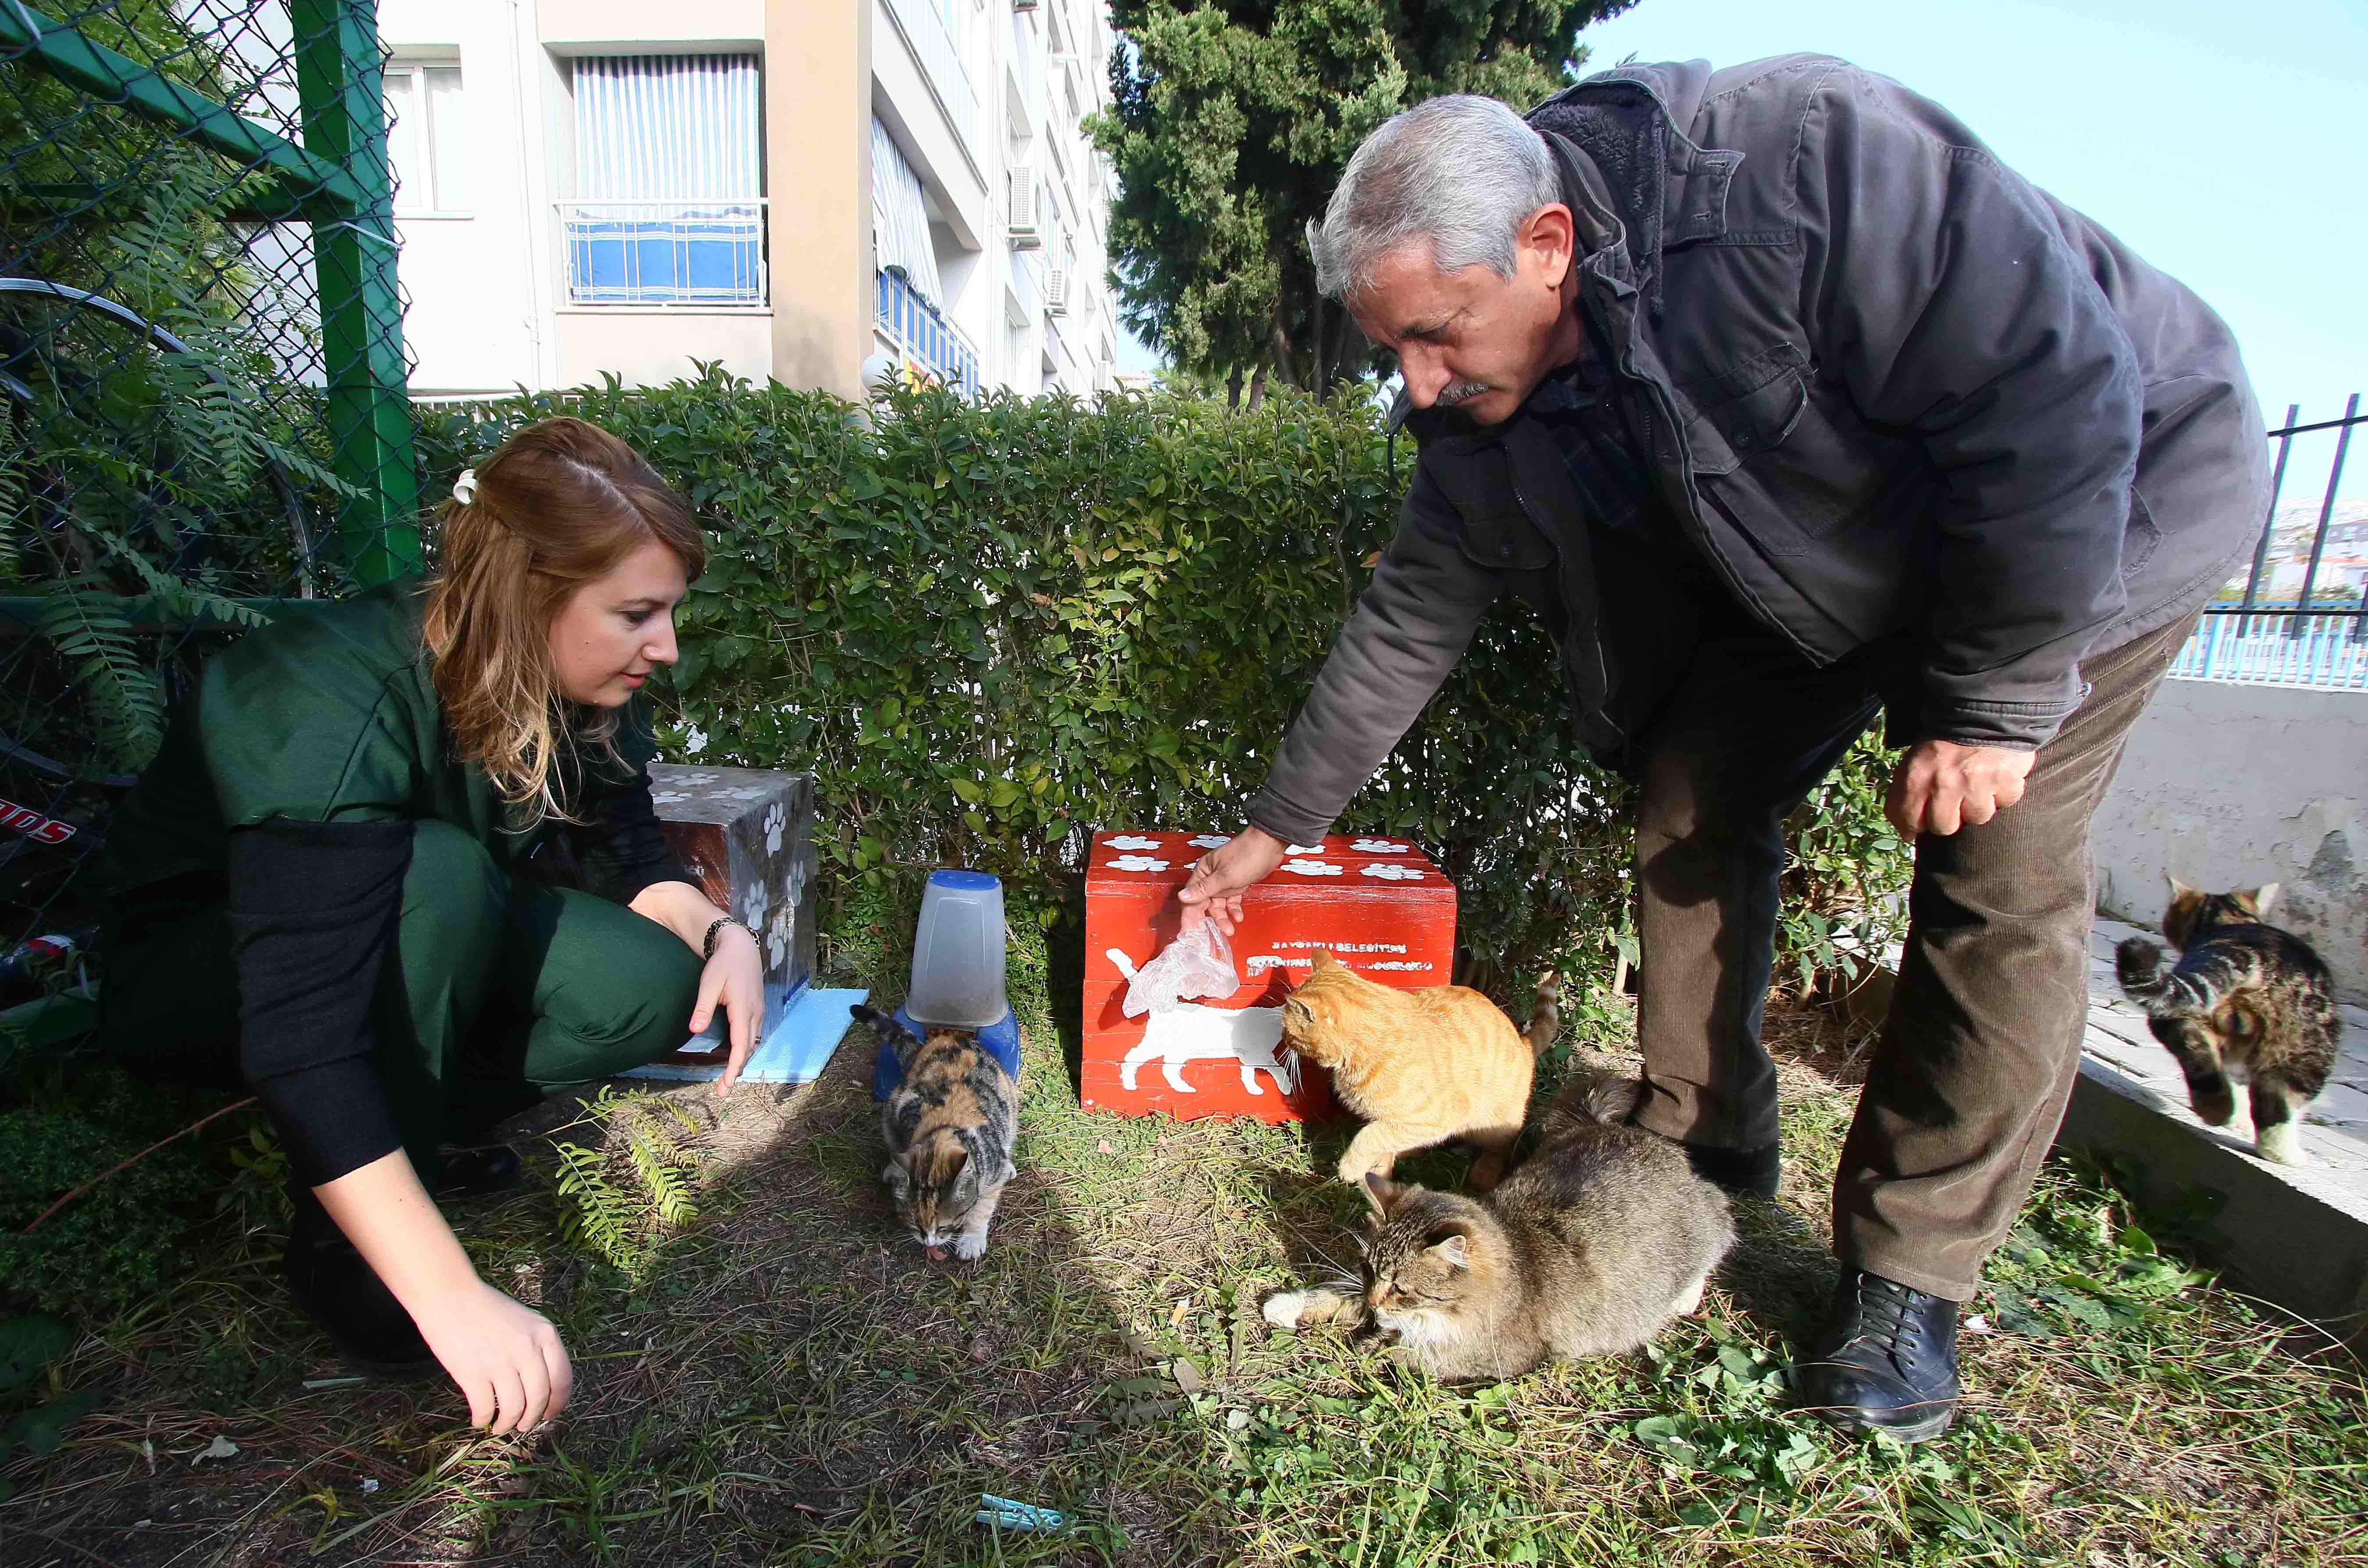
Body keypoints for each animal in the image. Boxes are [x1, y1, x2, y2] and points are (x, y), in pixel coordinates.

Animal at [852, 1009, 1018, 1269]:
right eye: (915, 1224)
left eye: (944, 1226)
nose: (929, 1243)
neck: (943, 1132)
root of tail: (940, 1041)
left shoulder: (990, 1167)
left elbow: (982, 1206)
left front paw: (971, 1241)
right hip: (892, 1104)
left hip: (1010, 1100)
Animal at [1259, 1075, 1743, 1383]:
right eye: (1369, 1270)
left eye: (1402, 1288)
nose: (1379, 1301)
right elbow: (1342, 1297)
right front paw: (1290, 1305)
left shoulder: (1490, 1356)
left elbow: (1402, 1353)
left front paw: (1363, 1348)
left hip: (1707, 1221)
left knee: (1722, 1228)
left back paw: (1686, 1295)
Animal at [1279, 952, 1534, 1198]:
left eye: (1287, 1029)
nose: (1281, 1038)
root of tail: (1526, 1047)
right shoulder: (1388, 1120)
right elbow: (1383, 1141)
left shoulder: (1435, 1118)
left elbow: (1369, 1136)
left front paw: (1351, 1167)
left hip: (1492, 1125)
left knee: (1500, 1149)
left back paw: (1484, 1173)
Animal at [2122, 886, 2339, 1165]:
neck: (2231, 920)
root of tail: (2248, 952)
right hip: (2305, 1049)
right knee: (2277, 1106)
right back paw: (2287, 1156)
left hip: (2181, 1011)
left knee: (2196, 1053)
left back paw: (2216, 1109)